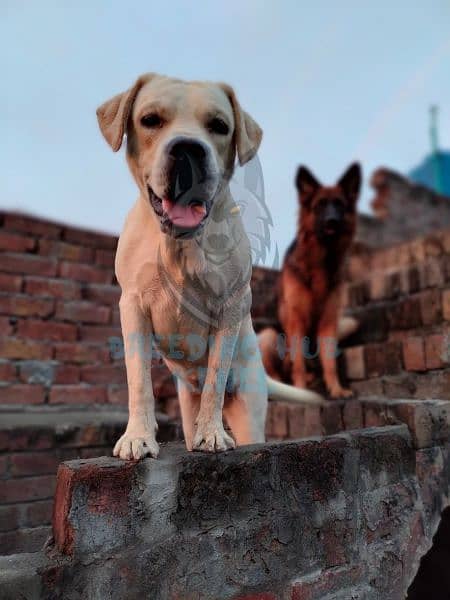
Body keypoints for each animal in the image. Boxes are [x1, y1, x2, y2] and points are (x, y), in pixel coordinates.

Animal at [96, 74, 322, 460]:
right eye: (150, 119)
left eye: (219, 126)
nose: (188, 149)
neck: (180, 243)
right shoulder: (132, 304)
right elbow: (138, 379)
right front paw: (138, 436)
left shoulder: (230, 305)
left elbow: (216, 374)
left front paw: (213, 434)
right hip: (187, 404)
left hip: (250, 409)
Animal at [258, 164, 360, 398]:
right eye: (319, 205)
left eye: (339, 204)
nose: (332, 221)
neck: (322, 261)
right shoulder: (296, 320)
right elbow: (298, 363)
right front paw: (301, 388)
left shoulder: (329, 322)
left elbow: (330, 363)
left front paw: (336, 389)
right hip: (268, 336)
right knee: (278, 373)